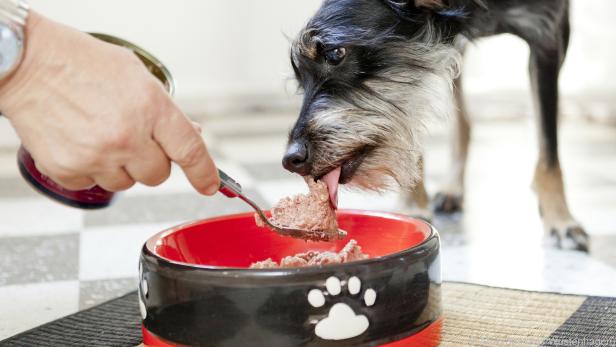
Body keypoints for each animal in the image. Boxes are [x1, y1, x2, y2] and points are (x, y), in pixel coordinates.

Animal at [280, 0, 588, 251]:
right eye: (299, 81)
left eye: (336, 53)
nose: (291, 159)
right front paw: (412, 205)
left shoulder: (548, 35)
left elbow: (549, 150)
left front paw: (561, 221)